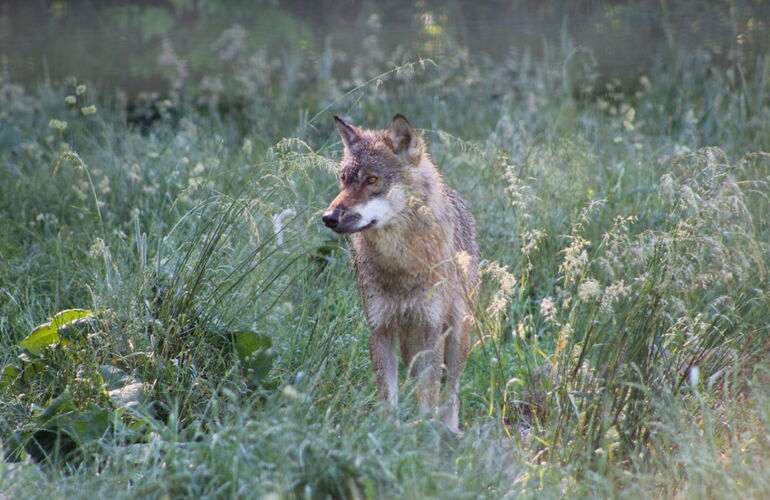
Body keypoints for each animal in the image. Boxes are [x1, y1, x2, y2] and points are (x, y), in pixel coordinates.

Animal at [322, 114, 480, 433]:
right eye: (344, 180)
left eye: (371, 180)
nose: (328, 218)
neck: (400, 264)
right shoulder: (380, 328)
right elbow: (388, 396)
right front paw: (389, 433)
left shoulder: (431, 328)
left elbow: (430, 395)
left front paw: (425, 431)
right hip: (409, 345)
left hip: (458, 335)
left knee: (451, 390)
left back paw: (450, 430)